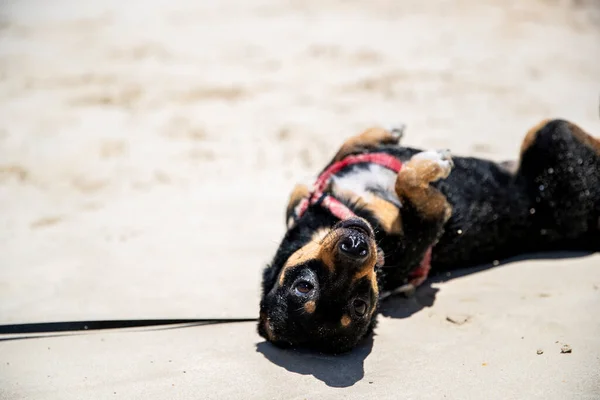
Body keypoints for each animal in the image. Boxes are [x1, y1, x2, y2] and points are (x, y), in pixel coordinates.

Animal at [258, 119, 600, 354]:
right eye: (360, 306)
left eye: (303, 286)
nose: (356, 246)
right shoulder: (433, 217)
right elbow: (408, 181)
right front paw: (432, 163)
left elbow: (321, 171)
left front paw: (387, 133)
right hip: (552, 137)